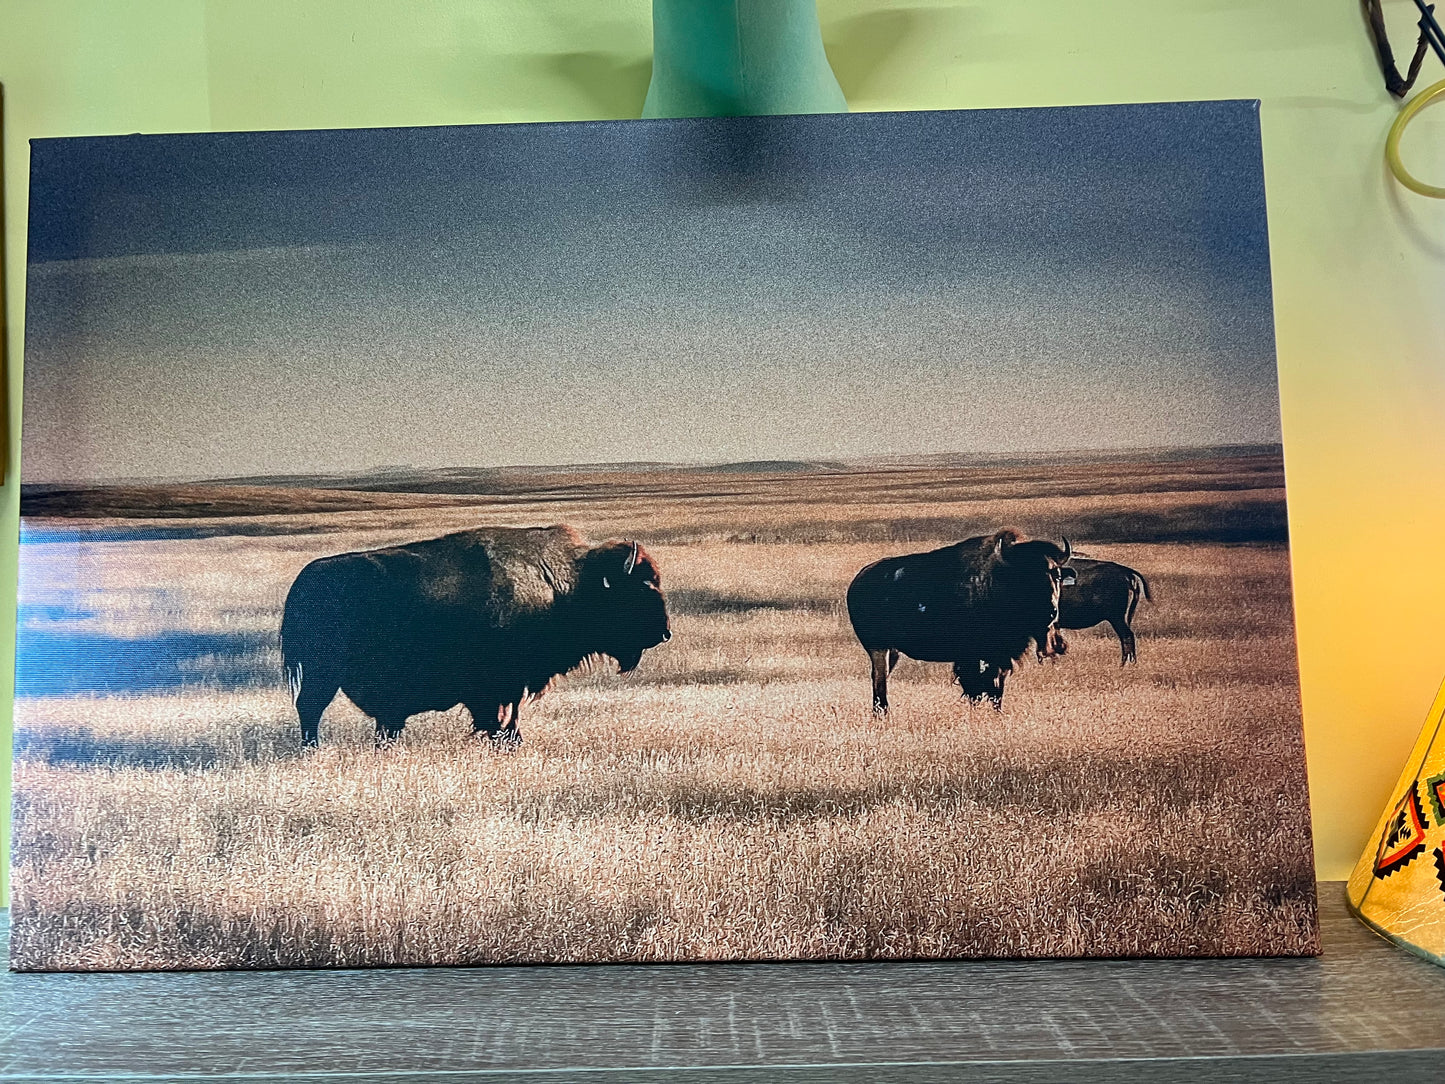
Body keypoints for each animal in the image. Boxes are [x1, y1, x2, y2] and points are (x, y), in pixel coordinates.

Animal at [280, 525, 671, 747]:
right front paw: (506, 741)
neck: (568, 585)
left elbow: (510, 714)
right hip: (324, 673)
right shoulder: (498, 684)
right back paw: (311, 749)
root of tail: (305, 580)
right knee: (310, 707)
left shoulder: (513, 684)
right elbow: (500, 717)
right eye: (639, 589)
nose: (665, 633)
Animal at [845, 529, 1074, 713]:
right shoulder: (970, 657)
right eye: (1025, 576)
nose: (1051, 612)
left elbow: (996, 690)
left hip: (892, 651)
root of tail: (857, 582)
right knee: (879, 681)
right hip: (879, 648)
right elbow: (975, 689)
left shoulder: (1000, 657)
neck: (997, 582)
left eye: (1056, 575)